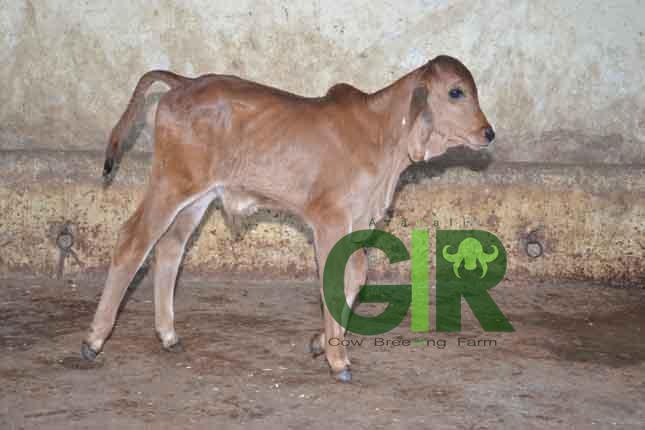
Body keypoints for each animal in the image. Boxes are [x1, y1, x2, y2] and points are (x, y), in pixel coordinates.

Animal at [81, 55, 495, 382]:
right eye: (456, 92)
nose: (488, 133)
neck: (383, 137)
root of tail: (185, 82)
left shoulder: (359, 220)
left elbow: (356, 275)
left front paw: (319, 343)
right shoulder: (329, 220)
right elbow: (333, 280)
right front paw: (338, 360)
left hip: (198, 197)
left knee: (169, 247)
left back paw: (168, 335)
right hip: (171, 182)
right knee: (133, 240)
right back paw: (94, 339)